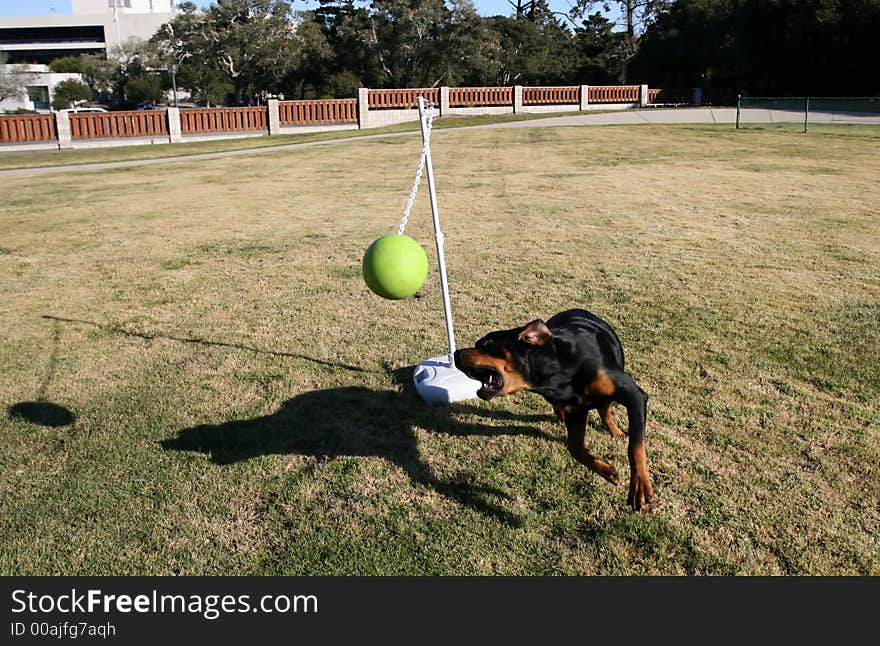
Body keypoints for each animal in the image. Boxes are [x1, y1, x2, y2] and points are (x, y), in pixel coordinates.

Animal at [454, 308, 652, 512]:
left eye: (484, 344)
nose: (455, 353)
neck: (556, 371)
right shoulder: (575, 411)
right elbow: (575, 448)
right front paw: (607, 471)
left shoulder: (634, 395)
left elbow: (635, 445)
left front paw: (639, 487)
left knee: (605, 409)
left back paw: (616, 431)